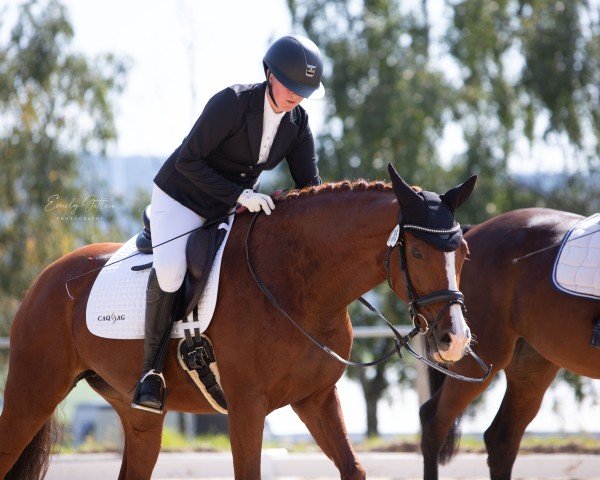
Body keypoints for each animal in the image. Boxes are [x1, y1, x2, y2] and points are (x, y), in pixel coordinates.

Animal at [0, 163, 478, 478]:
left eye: (464, 253)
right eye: (416, 252)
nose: (454, 339)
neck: (297, 284)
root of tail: (47, 277)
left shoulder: (316, 399)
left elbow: (353, 467)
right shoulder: (247, 406)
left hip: (138, 416)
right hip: (33, 391)